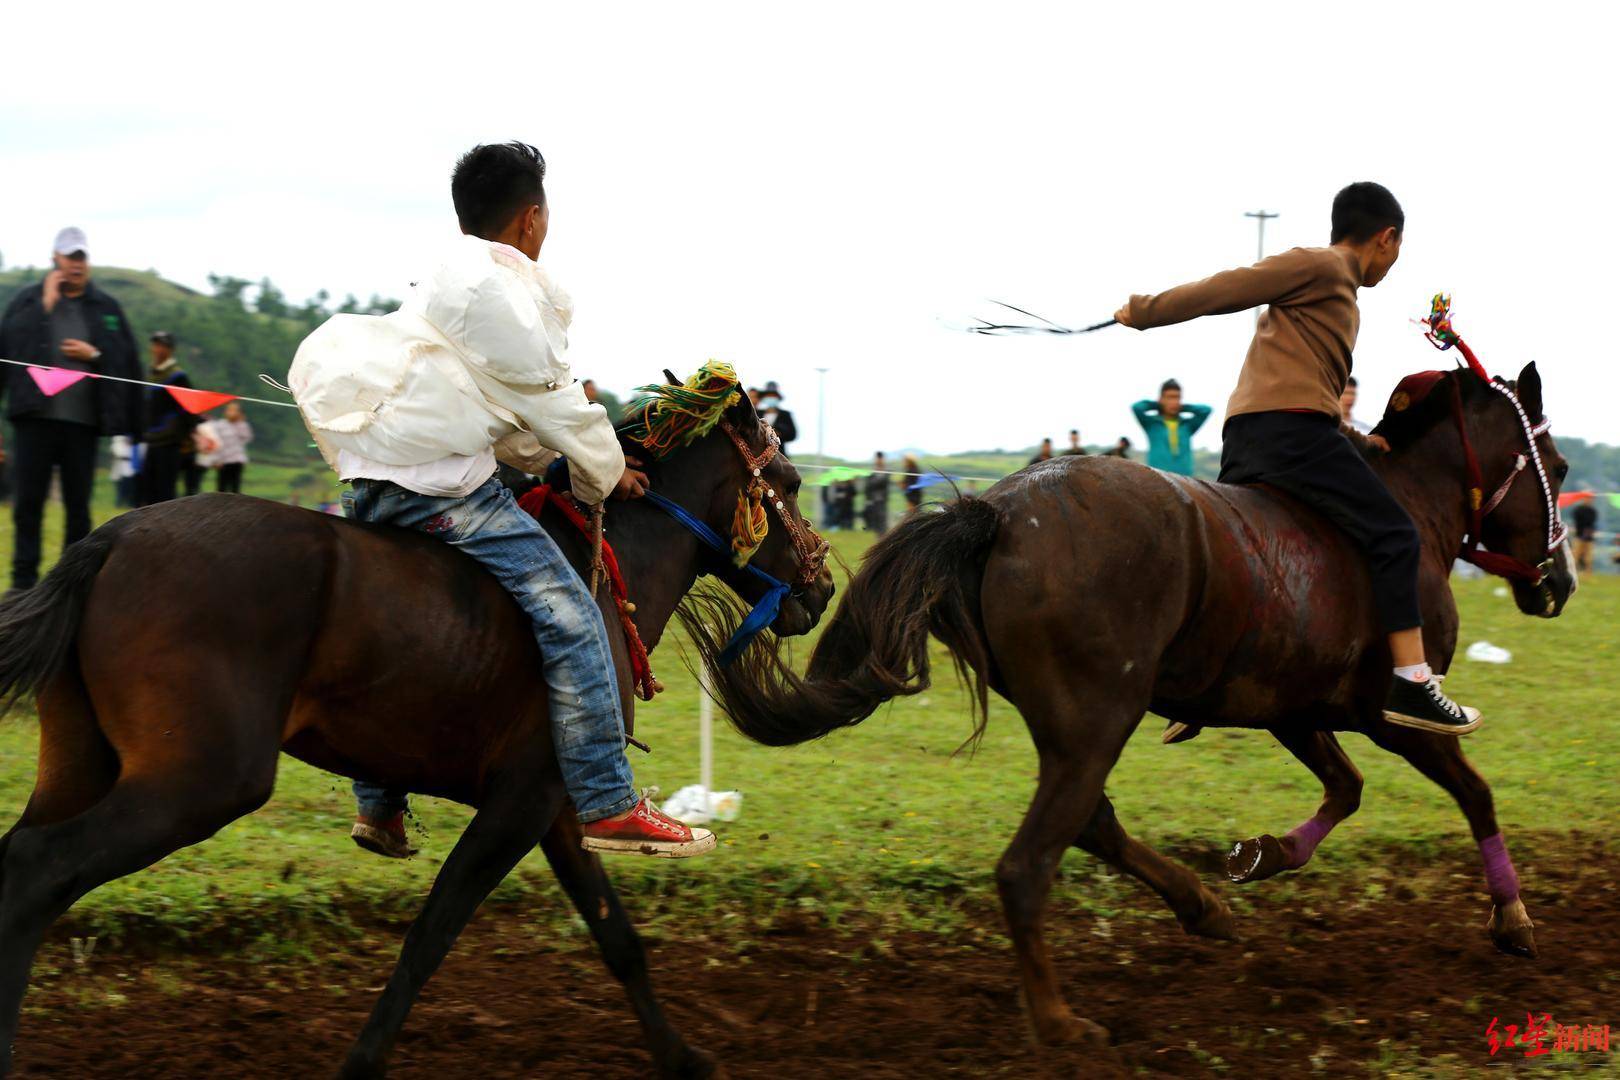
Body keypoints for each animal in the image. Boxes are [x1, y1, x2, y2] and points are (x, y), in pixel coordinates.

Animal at [0, 378, 835, 1075]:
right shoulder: (520, 803)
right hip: (200, 781)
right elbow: (431, 933)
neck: (603, 570)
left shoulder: (557, 805)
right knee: (39, 870)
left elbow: (618, 939)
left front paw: (684, 1057)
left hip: (83, 764)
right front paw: (362, 1062)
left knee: (23, 865)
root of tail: (108, 540)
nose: (823, 588)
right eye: (793, 484)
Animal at [690, 362, 1574, 1049]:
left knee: (1091, 823)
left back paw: (1201, 906)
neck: (1409, 514)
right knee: (1030, 864)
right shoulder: (1395, 716)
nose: (1559, 585)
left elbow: (1347, 789)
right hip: (1098, 721)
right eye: (1559, 468)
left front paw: (1265, 854)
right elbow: (1473, 791)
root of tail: (998, 512)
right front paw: (1513, 918)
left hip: (1079, 726)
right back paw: (1059, 1022)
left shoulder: (1295, 710)